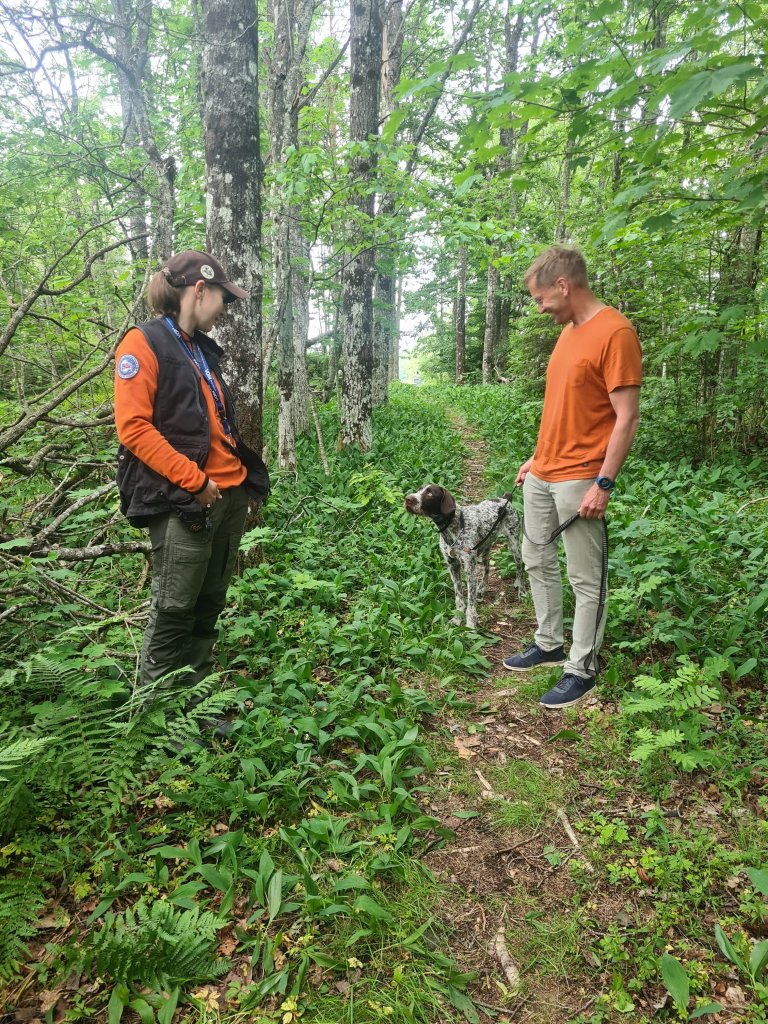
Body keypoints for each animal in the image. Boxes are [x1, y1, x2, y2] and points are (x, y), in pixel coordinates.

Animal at [405, 483, 528, 626]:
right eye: (418, 489)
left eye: (430, 493)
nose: (408, 498)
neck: (454, 528)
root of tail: (505, 499)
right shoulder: (453, 567)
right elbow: (459, 597)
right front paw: (457, 618)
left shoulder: (470, 570)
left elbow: (470, 603)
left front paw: (470, 625)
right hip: (484, 548)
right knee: (487, 568)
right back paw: (482, 588)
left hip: (514, 546)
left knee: (520, 570)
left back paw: (522, 592)